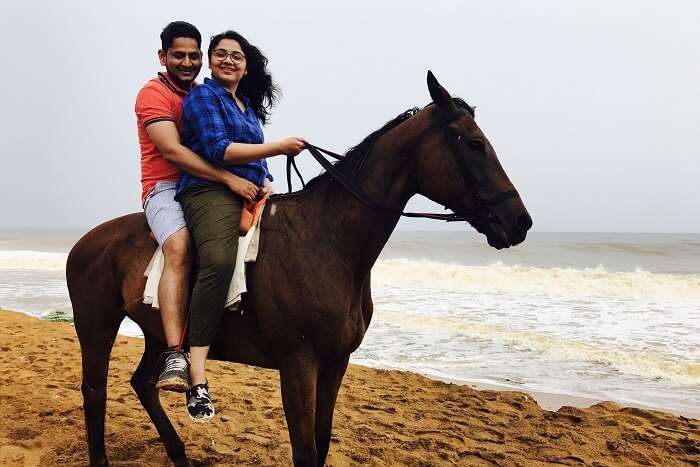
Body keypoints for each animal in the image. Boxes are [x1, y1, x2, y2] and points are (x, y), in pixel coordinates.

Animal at [68, 71, 532, 466]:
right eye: (474, 144)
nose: (520, 221)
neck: (328, 241)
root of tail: (85, 242)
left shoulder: (335, 364)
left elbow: (321, 447)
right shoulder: (298, 366)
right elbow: (305, 452)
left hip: (156, 334)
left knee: (143, 383)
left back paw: (178, 452)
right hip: (97, 327)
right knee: (95, 392)